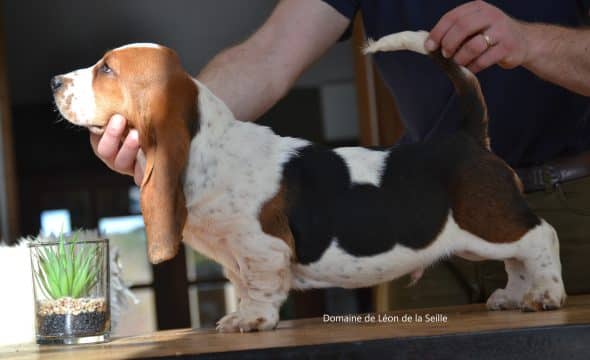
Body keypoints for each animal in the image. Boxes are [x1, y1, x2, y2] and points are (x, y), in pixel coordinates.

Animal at [52, 31, 568, 332]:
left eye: (106, 69)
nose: (56, 82)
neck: (208, 147)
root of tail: (467, 135)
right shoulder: (237, 256)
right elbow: (241, 282)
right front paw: (241, 314)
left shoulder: (262, 249)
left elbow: (260, 286)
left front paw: (251, 320)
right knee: (519, 257)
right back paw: (516, 296)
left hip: (487, 220)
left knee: (541, 236)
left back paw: (546, 294)